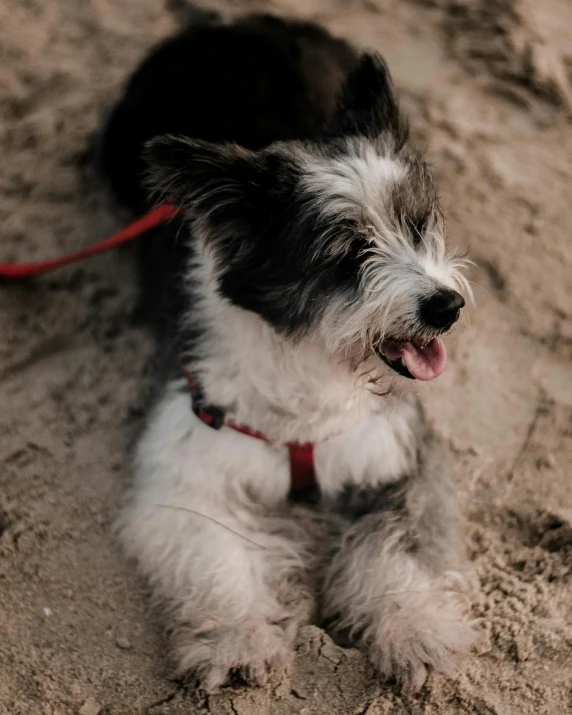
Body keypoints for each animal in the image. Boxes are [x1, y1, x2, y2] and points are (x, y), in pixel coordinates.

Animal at [98, 8, 474, 692]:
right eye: (347, 255)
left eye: (418, 224)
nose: (446, 307)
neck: (313, 367)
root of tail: (230, 23)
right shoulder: (189, 471)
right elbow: (216, 555)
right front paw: (239, 638)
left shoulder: (400, 458)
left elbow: (398, 551)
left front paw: (417, 628)